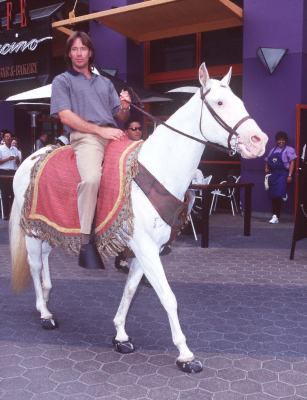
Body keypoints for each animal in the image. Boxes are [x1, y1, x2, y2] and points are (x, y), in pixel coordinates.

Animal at [9, 62, 270, 372]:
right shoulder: (145, 248)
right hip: (31, 231)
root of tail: (31, 158)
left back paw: (47, 297)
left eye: (239, 100)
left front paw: (120, 335)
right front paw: (185, 354)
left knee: (46, 258)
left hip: (48, 228)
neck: (155, 169)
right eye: (220, 103)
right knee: (35, 264)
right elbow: (168, 297)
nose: (259, 141)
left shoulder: (144, 249)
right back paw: (44, 312)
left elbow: (131, 290)